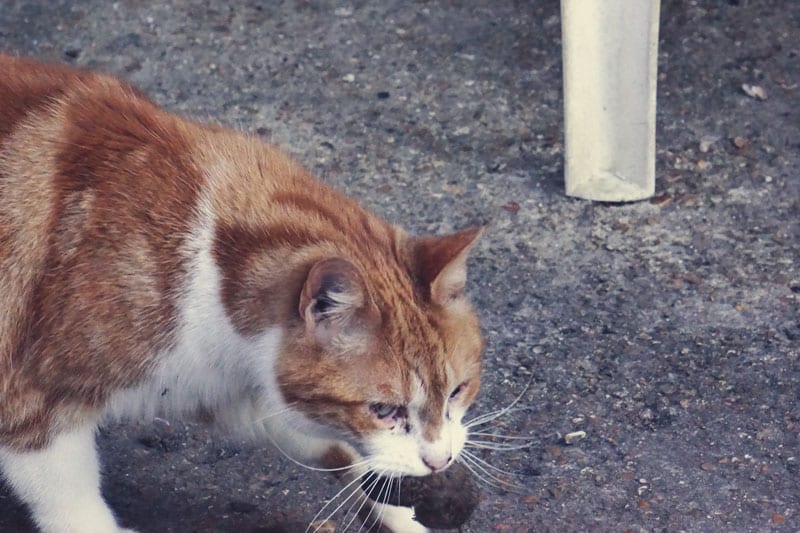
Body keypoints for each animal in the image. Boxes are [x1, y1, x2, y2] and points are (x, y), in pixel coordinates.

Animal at [0, 55, 482, 532]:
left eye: (457, 391)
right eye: (383, 409)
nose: (439, 461)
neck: (206, 259)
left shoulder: (219, 383)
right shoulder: (31, 405)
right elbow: (71, 502)